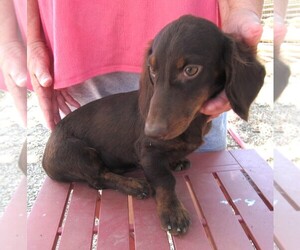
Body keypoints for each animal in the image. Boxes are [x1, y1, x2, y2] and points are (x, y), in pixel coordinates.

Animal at [42, 15, 264, 234]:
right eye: (152, 70)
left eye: (191, 70)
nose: (151, 131)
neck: (193, 122)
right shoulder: (147, 151)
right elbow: (165, 179)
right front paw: (172, 211)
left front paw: (176, 161)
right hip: (79, 152)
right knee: (98, 178)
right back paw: (134, 185)